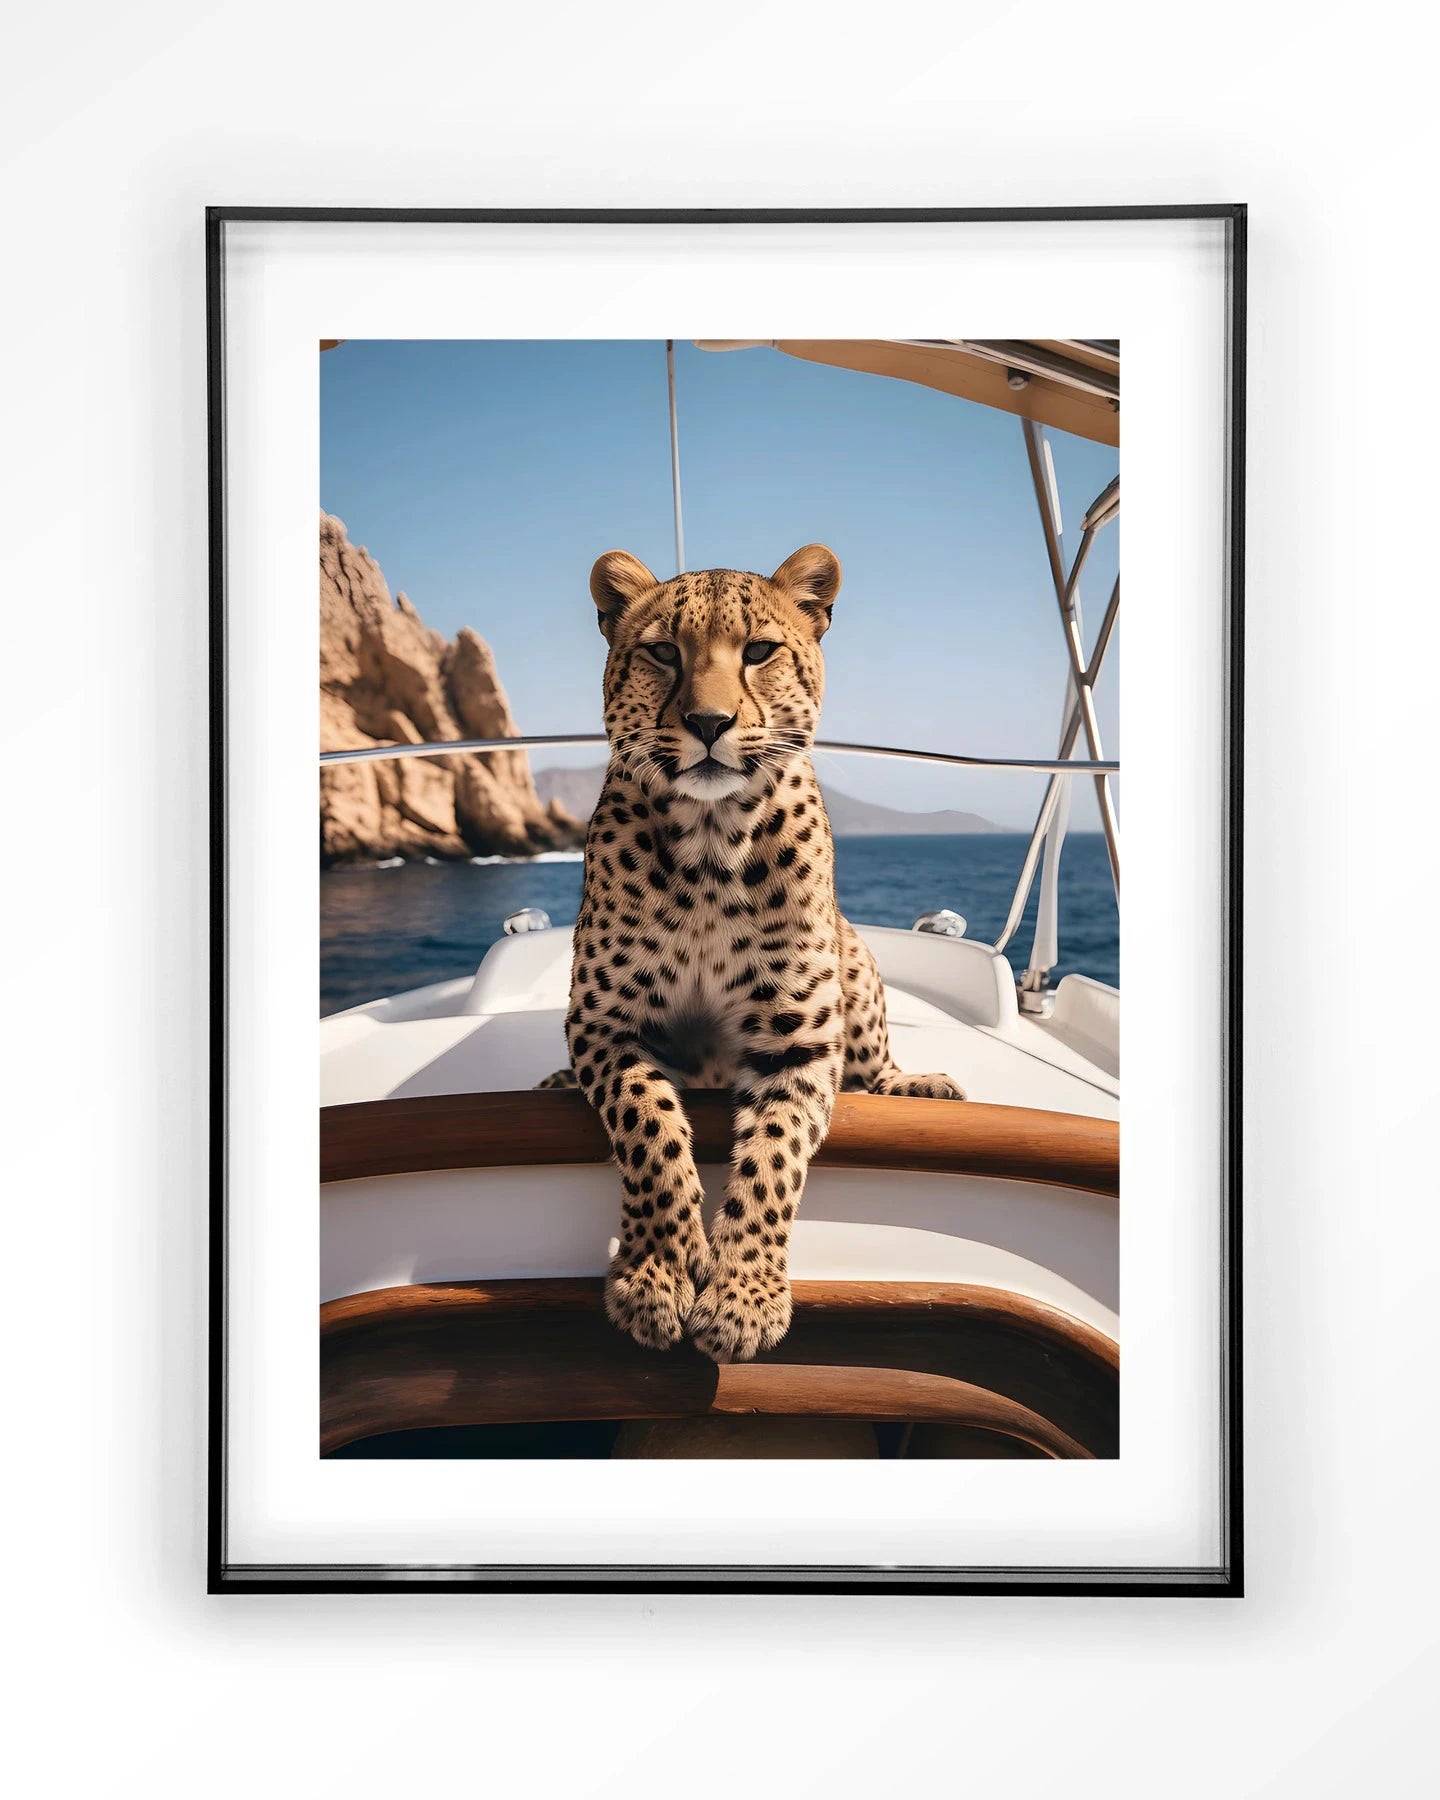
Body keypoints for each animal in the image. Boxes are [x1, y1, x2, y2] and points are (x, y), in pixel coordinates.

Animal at [537, 544, 965, 1364]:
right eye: (663, 653)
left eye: (760, 651)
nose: (709, 722)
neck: (711, 844)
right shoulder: (604, 1022)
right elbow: (649, 1127)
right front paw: (659, 1274)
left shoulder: (799, 1040)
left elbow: (772, 1160)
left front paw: (743, 1298)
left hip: (856, 960)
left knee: (873, 1067)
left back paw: (916, 1087)